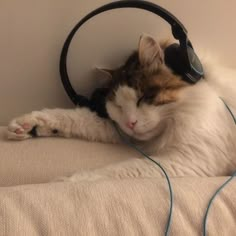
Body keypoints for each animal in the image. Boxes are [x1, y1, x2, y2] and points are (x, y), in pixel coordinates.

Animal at [5, 34, 236, 182]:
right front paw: (27, 126)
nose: (131, 123)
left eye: (143, 98)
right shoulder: (120, 130)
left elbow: (117, 172)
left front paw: (66, 182)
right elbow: (73, 118)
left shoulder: (188, 159)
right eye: (117, 105)